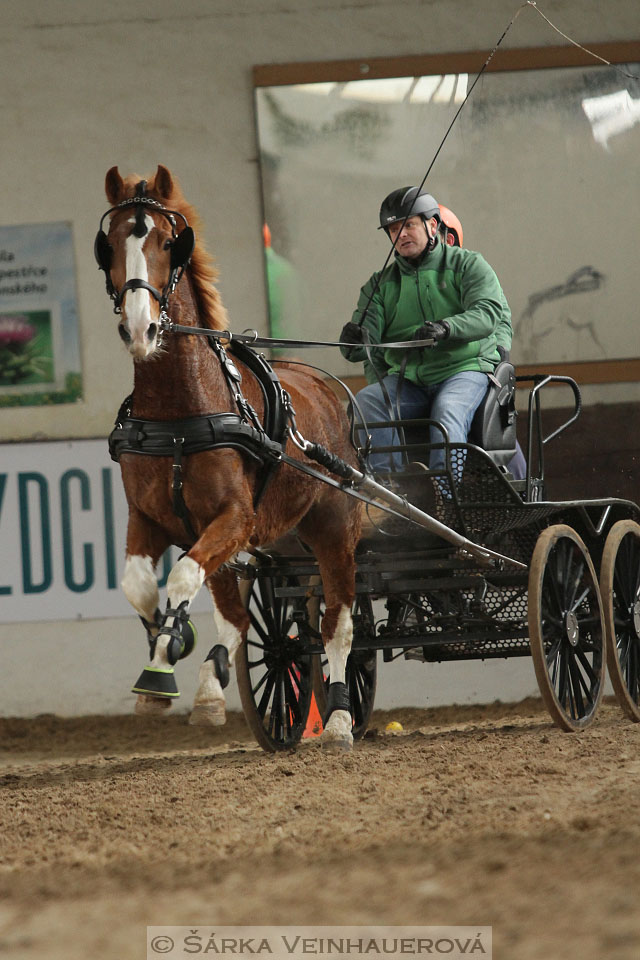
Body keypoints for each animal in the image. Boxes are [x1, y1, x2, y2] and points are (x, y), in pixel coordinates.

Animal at [98, 165, 362, 752]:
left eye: (168, 242)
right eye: (111, 244)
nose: (140, 328)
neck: (180, 416)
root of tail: (326, 386)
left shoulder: (235, 518)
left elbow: (179, 580)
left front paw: (162, 663)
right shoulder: (152, 518)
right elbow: (142, 587)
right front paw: (169, 646)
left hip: (332, 528)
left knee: (338, 623)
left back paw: (337, 719)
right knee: (239, 616)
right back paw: (212, 686)